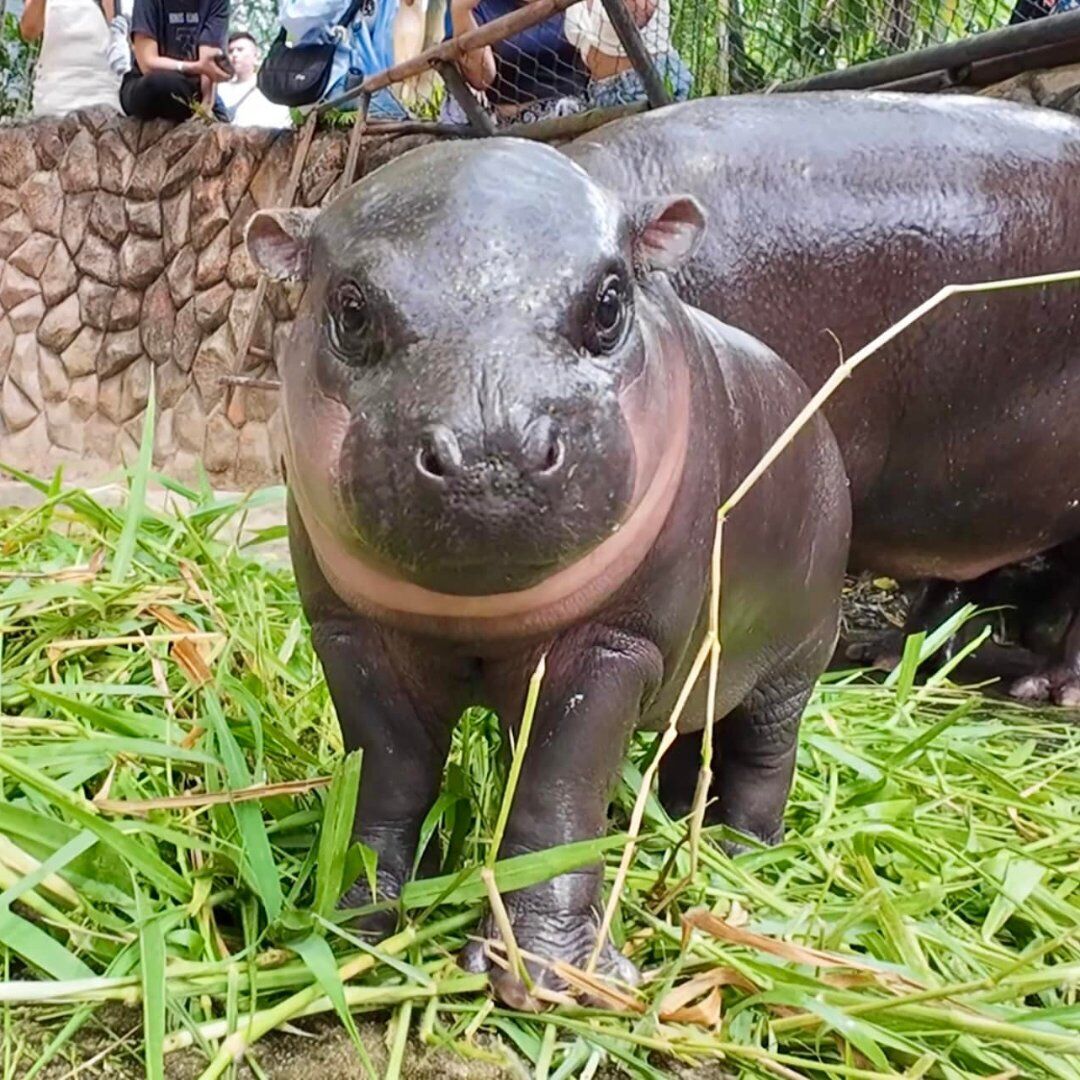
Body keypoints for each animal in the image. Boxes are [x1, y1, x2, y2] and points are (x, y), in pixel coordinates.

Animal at [247, 139, 851, 997]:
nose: (490, 455)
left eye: (609, 304)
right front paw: (351, 925)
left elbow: (558, 799)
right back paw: (674, 825)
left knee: (765, 755)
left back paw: (737, 861)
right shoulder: (349, 634)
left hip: (795, 660)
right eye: (351, 309)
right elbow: (389, 777)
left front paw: (543, 974)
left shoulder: (614, 645)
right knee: (686, 741)